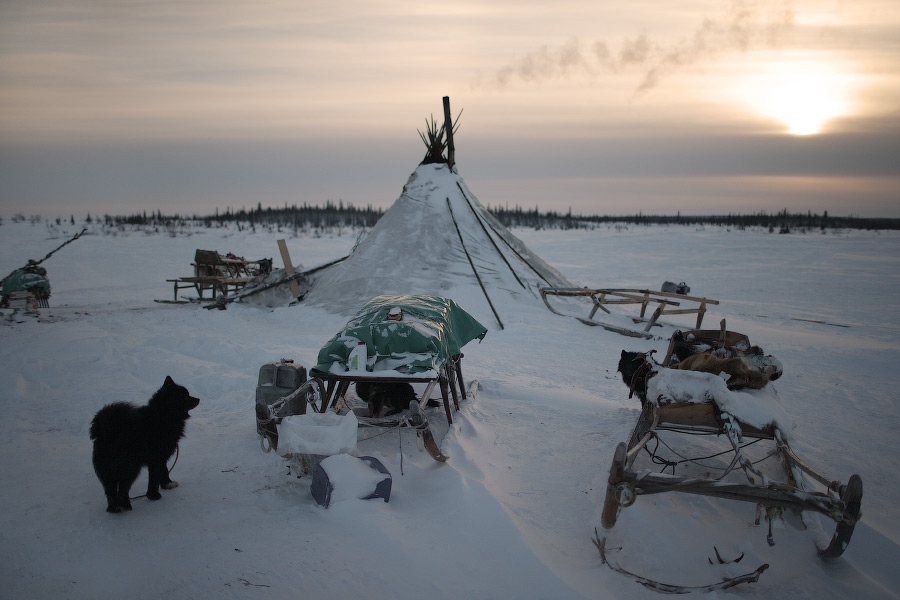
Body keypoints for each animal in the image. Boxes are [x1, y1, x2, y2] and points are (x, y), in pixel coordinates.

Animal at [89, 376, 199, 510]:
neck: (164, 415)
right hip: (131, 467)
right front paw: (154, 495)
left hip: (108, 473)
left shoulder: (160, 457)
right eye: (185, 397)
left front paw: (167, 484)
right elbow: (155, 477)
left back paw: (114, 509)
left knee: (110, 492)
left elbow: (164, 471)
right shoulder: (157, 458)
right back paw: (126, 506)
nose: (198, 399)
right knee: (123, 489)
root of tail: (105, 431)